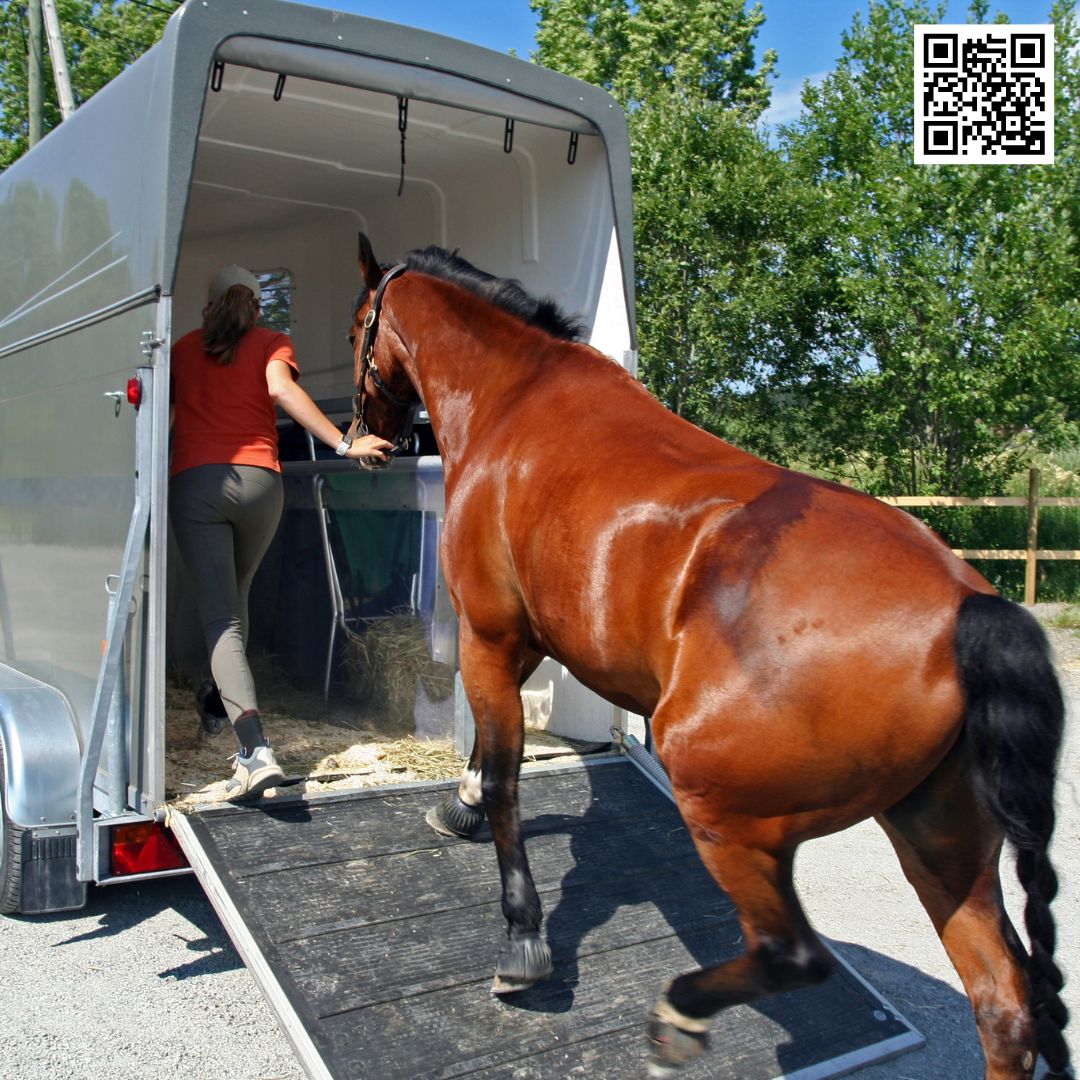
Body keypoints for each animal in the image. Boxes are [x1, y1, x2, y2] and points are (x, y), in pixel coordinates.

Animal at [346, 232, 1070, 1080]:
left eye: (358, 324)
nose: (362, 436)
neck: (517, 400)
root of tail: (971, 609)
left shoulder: (489, 635)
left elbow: (502, 779)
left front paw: (523, 938)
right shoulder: (526, 639)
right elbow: (486, 767)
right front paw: (455, 807)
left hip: (729, 813)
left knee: (795, 955)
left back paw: (678, 1014)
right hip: (940, 842)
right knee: (1005, 1006)